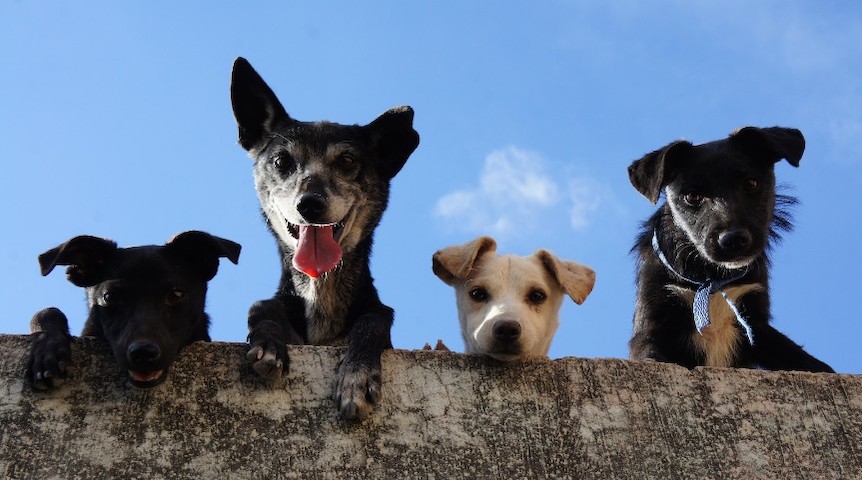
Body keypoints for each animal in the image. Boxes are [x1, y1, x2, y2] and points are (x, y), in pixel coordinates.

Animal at [228, 57, 420, 420]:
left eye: (347, 161)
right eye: (282, 161)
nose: (310, 204)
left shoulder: (376, 318)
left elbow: (373, 320)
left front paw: (357, 377)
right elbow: (261, 306)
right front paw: (268, 345)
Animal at [628, 126, 836, 372]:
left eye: (751, 183)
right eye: (692, 196)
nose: (734, 239)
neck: (711, 278)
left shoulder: (756, 324)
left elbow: (803, 359)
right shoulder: (653, 321)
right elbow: (651, 353)